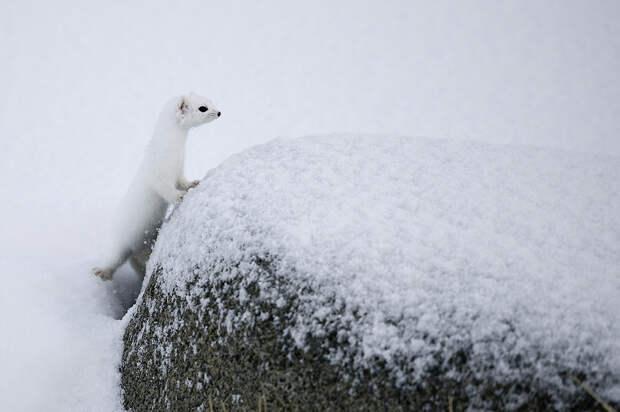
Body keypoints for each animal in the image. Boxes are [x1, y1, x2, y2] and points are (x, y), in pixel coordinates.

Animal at [93, 93, 222, 280]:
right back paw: (101, 272)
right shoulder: (159, 174)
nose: (219, 112)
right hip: (119, 242)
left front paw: (193, 183)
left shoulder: (179, 170)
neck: (175, 155)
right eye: (203, 108)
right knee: (113, 259)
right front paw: (180, 197)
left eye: (211, 100)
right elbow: (166, 190)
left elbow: (183, 182)